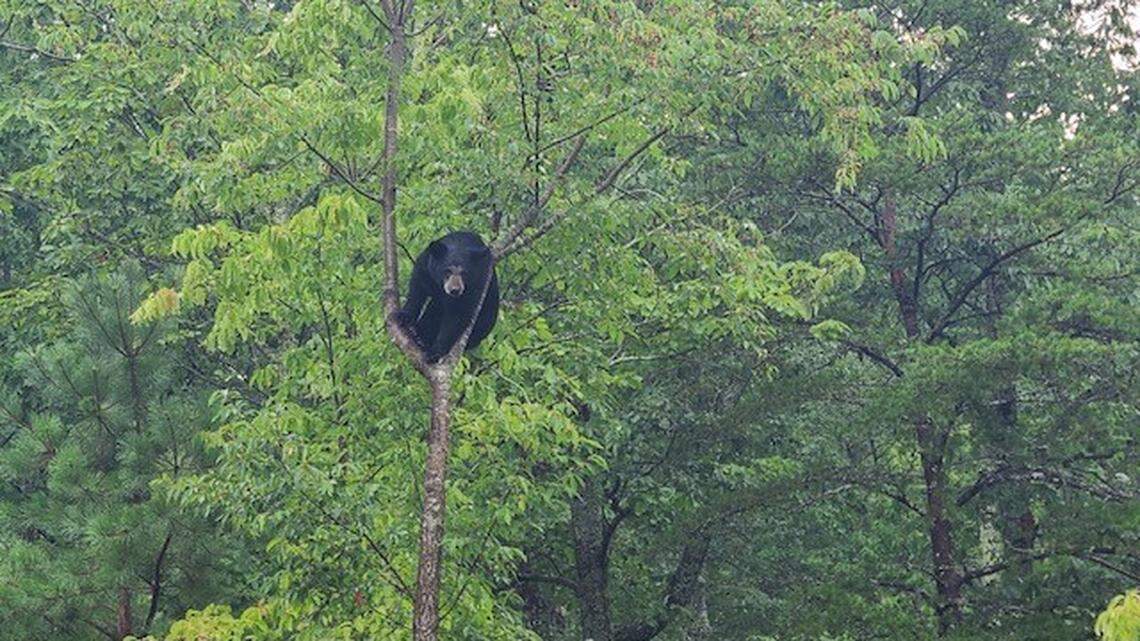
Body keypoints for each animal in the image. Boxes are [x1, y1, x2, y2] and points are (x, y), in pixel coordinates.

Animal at [395, 231, 499, 363]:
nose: (455, 290)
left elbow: (456, 317)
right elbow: (417, 290)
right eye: (447, 271)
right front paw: (404, 317)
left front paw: (435, 352)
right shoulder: (426, 266)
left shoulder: (476, 284)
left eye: (464, 273)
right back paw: (417, 333)